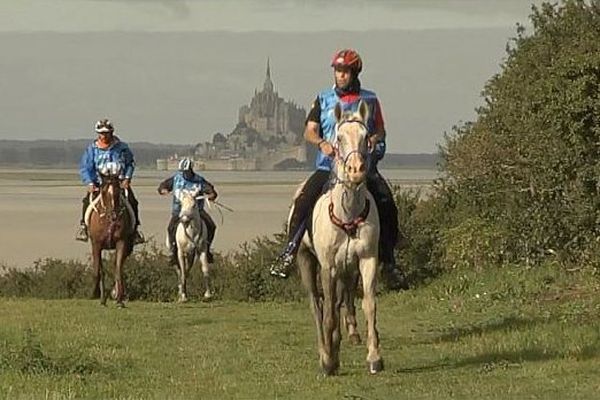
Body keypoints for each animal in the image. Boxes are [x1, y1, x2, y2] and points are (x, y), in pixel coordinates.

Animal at [296, 100, 382, 376]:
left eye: (366, 136)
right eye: (339, 137)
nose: (356, 170)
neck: (348, 213)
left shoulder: (367, 260)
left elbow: (368, 304)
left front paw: (374, 357)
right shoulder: (328, 266)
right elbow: (328, 315)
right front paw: (328, 361)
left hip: (346, 269)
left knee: (339, 303)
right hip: (307, 262)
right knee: (317, 307)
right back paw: (326, 351)